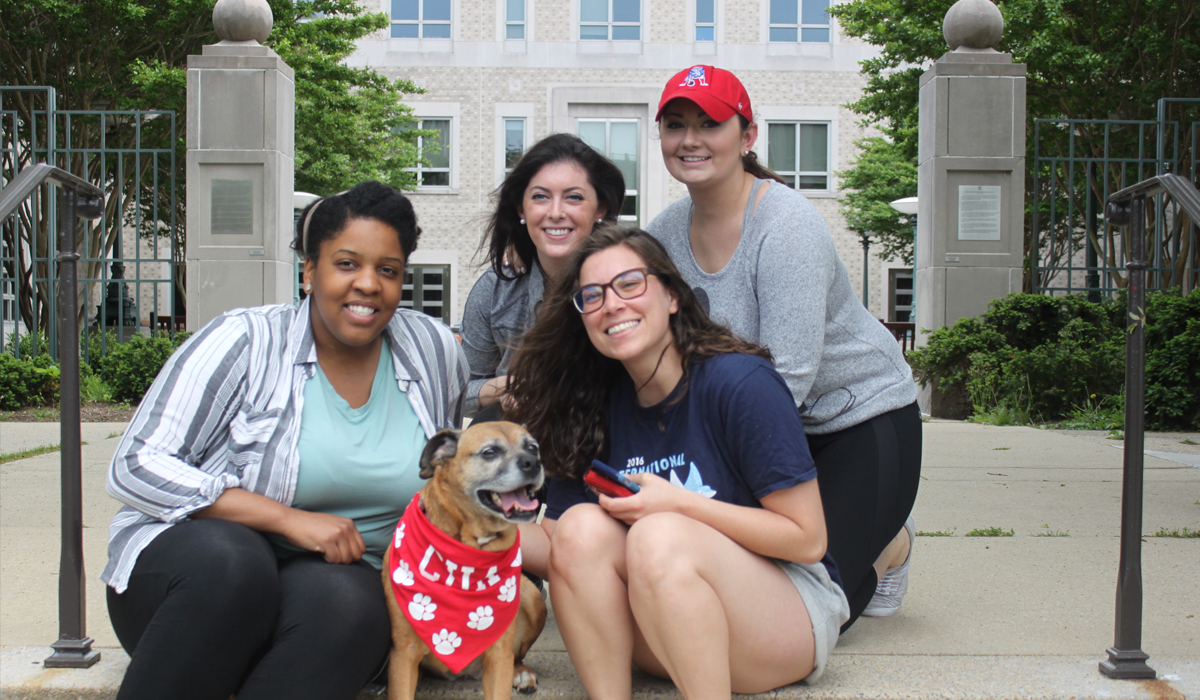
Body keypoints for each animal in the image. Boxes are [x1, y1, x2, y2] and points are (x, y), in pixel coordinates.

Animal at [381, 422, 547, 700]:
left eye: (533, 447)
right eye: (490, 452)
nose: (533, 463)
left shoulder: (499, 655)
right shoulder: (404, 654)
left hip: (532, 598)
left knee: (517, 658)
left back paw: (522, 673)